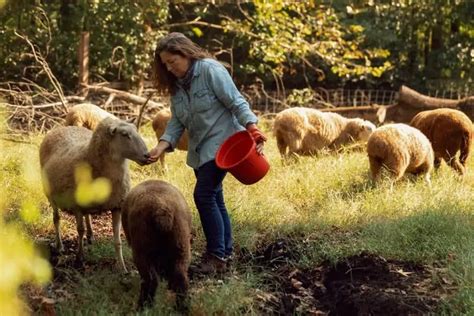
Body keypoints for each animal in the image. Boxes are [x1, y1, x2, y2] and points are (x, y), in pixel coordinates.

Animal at [39, 117, 150, 270]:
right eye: (124, 134)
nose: (147, 155)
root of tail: (62, 128)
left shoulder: (117, 206)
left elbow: (117, 241)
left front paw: (122, 268)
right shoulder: (77, 206)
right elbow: (80, 230)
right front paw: (79, 258)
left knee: (87, 216)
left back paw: (91, 235)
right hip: (49, 194)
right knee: (56, 219)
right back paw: (59, 245)